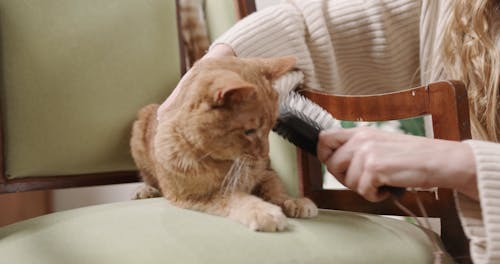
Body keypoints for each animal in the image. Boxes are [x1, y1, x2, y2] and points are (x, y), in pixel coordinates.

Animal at [131, 55, 318, 231]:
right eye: (249, 131)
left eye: (271, 127)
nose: (264, 155)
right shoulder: (198, 195)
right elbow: (236, 199)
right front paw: (263, 211)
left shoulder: (266, 173)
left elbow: (276, 189)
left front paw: (293, 201)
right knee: (148, 179)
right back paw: (145, 190)